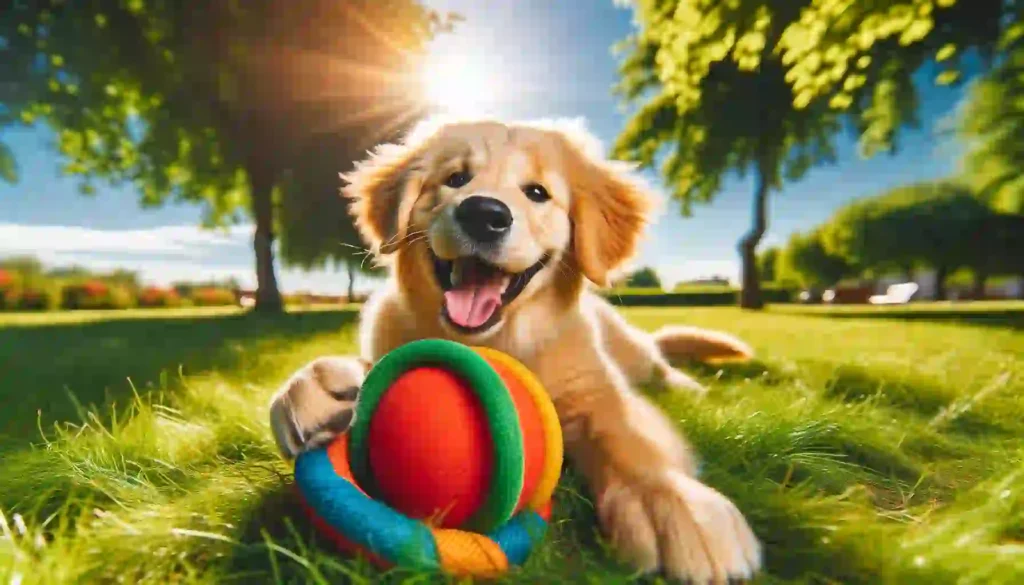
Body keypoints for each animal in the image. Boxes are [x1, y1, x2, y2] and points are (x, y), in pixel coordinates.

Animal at [268, 116, 765, 581]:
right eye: (455, 179)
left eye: (538, 192)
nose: (483, 213)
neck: (500, 340)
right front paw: (317, 387)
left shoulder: (596, 391)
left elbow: (626, 436)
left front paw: (670, 504)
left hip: (631, 350)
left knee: (660, 365)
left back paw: (689, 392)